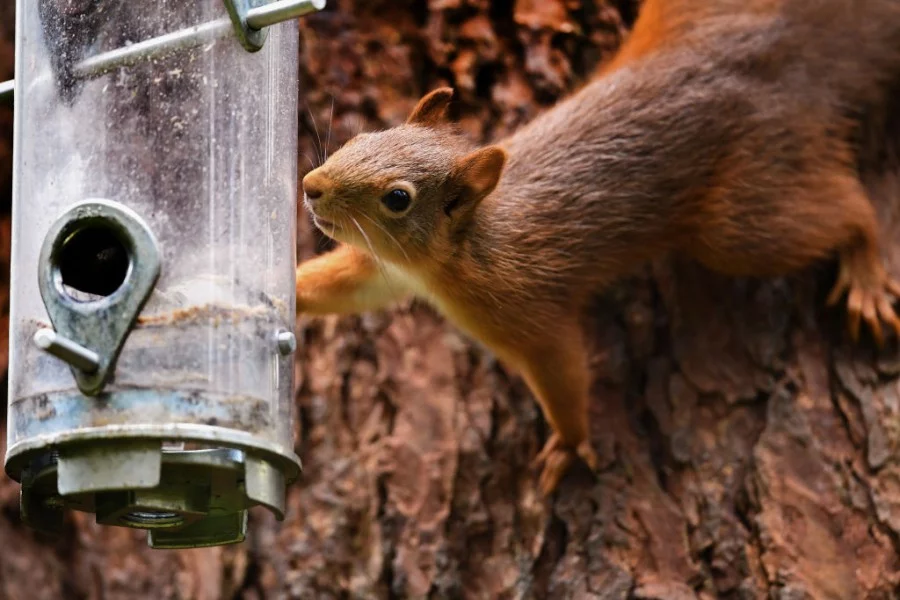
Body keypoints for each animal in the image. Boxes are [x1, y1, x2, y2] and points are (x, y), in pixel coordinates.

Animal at [294, 2, 900, 494]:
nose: (310, 186)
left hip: (741, 225)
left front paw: (568, 442)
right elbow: (341, 288)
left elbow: (562, 370)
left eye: (398, 198)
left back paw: (866, 272)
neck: (461, 247)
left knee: (848, 210)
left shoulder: (526, 309)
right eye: (361, 137)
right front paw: (285, 295)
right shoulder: (384, 270)